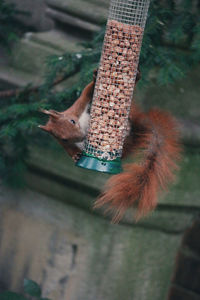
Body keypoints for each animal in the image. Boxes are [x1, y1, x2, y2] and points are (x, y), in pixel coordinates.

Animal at [39, 69, 181, 221]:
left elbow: (88, 91)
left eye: (72, 121)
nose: (82, 137)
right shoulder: (65, 143)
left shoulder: (79, 105)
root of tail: (135, 135)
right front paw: (76, 156)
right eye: (64, 139)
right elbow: (70, 150)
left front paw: (96, 76)